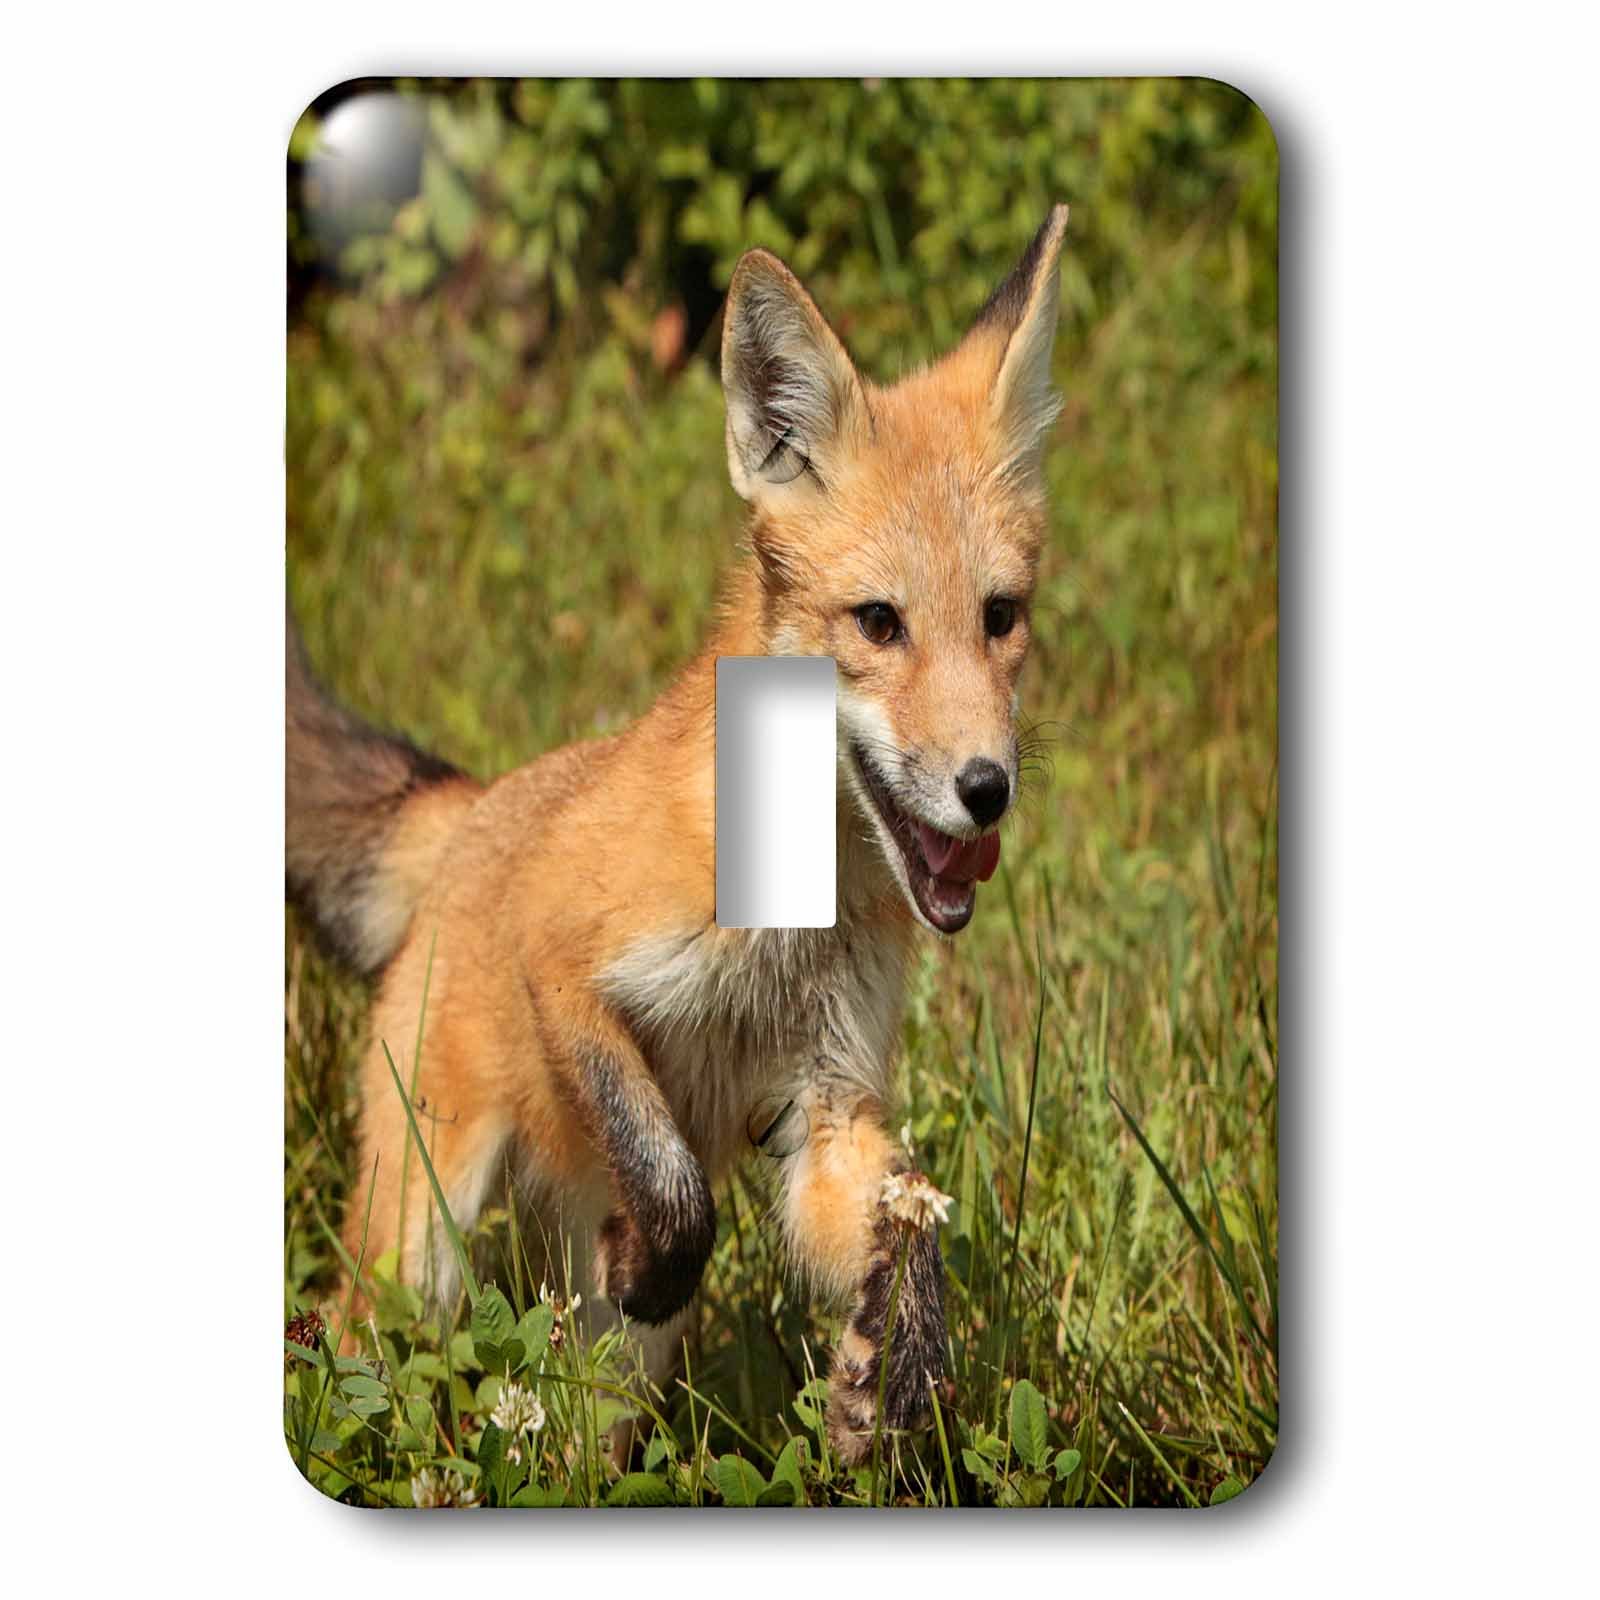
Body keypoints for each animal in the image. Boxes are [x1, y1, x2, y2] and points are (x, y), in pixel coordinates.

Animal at [286, 203, 1069, 1465]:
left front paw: (892, 1372)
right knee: (365, 1345)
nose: (986, 789)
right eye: (878, 624)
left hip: (599, 1358)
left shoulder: (826, 1102)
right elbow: (680, 1193)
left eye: (1000, 618)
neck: (786, 919)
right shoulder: (565, 962)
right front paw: (660, 1257)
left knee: (570, 1447)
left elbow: (909, 1227)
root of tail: (476, 802)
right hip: (418, 1240)